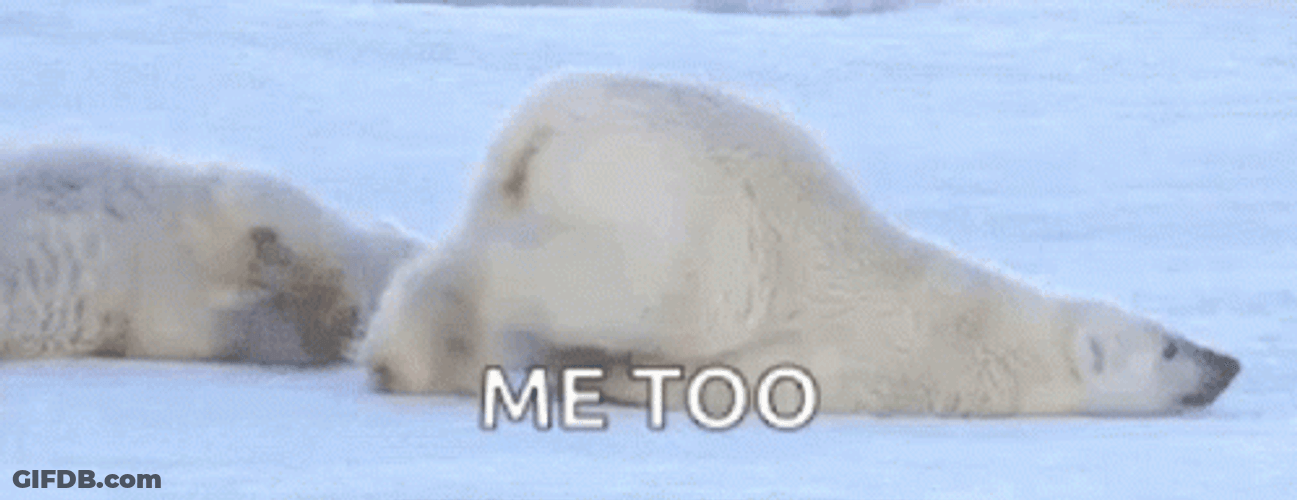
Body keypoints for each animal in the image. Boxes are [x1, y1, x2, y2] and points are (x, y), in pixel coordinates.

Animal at [359, 73, 1240, 416]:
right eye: (1168, 347)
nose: (1227, 363)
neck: (975, 332)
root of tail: (549, 116)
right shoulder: (853, 356)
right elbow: (736, 379)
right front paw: (618, 382)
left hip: (530, 180)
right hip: (676, 218)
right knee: (592, 284)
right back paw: (423, 356)